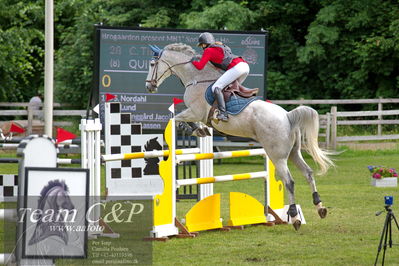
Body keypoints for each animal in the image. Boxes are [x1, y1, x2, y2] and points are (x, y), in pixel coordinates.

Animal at [146, 43, 334, 229]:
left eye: (152, 64)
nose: (149, 86)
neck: (196, 78)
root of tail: (287, 116)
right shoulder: (196, 114)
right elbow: (185, 120)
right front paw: (201, 130)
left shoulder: (195, 112)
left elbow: (177, 118)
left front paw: (195, 129)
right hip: (294, 152)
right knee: (308, 173)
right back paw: (320, 207)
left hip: (277, 156)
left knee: (289, 181)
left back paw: (295, 217)